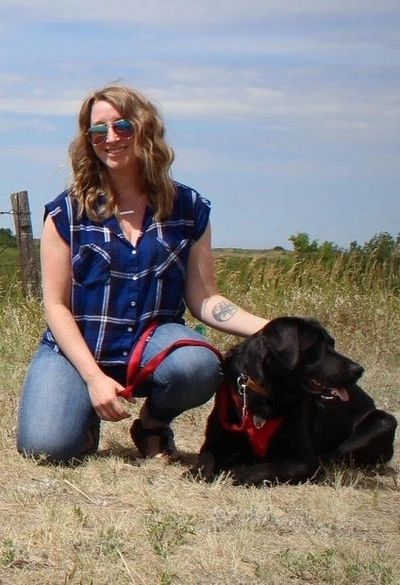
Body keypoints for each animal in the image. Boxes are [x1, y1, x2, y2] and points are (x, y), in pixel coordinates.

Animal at [193, 314, 396, 484]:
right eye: (314, 347)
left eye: (332, 344)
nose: (358, 370)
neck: (269, 394)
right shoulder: (214, 444)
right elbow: (203, 462)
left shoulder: (304, 463)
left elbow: (266, 469)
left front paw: (238, 472)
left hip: (385, 422)